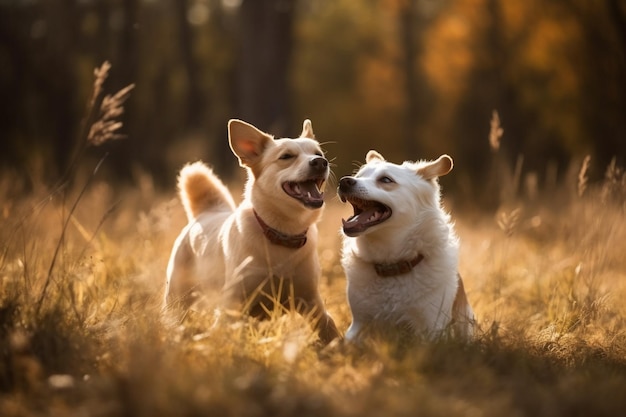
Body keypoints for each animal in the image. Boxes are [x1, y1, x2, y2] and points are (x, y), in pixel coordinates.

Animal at [336, 150, 472, 342]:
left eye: (386, 179)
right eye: (358, 176)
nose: (344, 181)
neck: (392, 266)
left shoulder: (432, 328)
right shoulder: (359, 325)